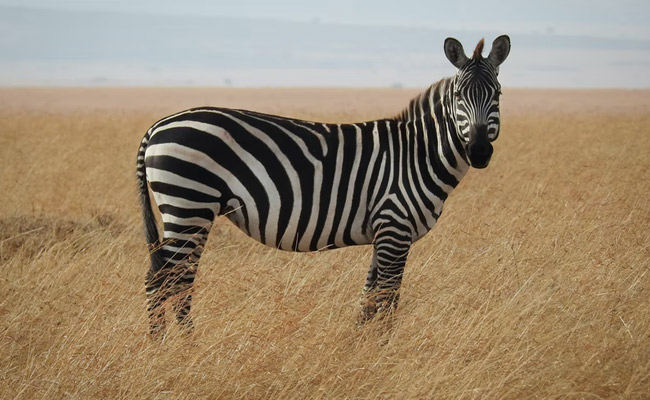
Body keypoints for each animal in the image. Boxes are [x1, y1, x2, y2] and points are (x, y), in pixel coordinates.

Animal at [136, 35, 511, 338]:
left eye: (498, 94)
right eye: (459, 96)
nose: (479, 152)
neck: (417, 154)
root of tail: (157, 126)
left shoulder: (383, 232)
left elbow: (368, 299)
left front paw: (358, 349)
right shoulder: (395, 227)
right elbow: (388, 298)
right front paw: (384, 351)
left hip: (193, 211)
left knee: (174, 279)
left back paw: (173, 345)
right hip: (189, 204)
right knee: (164, 280)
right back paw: (173, 348)